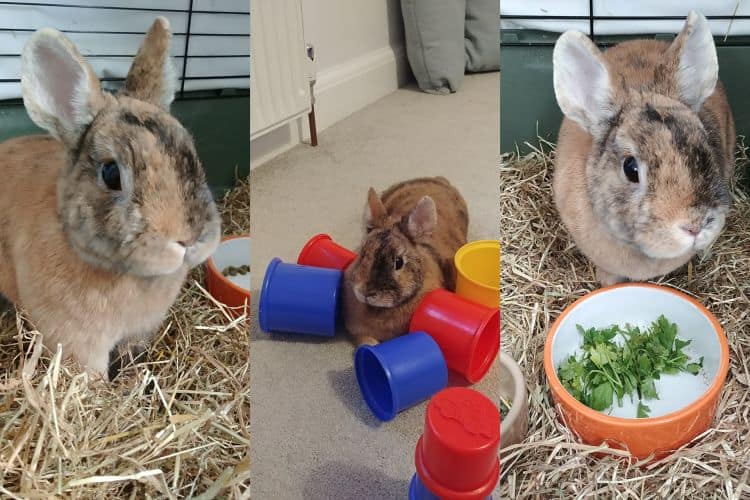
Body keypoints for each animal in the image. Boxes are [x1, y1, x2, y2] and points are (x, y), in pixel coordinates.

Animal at [342, 177, 468, 346]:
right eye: (363, 252)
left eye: (399, 262)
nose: (366, 293)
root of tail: (438, 179)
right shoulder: (359, 332)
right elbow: (366, 341)